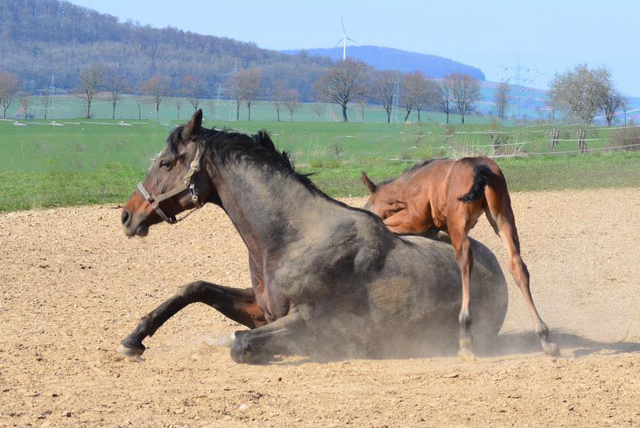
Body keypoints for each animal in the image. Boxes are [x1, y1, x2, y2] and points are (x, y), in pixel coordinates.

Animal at [119, 111, 510, 364]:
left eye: (166, 163)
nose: (127, 215)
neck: (293, 238)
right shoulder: (260, 309)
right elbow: (195, 289)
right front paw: (134, 338)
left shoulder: (306, 322)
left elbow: (241, 344)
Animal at [364, 157, 560, 358]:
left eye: (368, 205)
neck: (415, 183)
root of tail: (479, 169)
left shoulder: (415, 219)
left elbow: (387, 223)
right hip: (503, 220)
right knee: (517, 265)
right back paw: (544, 335)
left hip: (458, 224)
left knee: (465, 261)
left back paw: (466, 333)